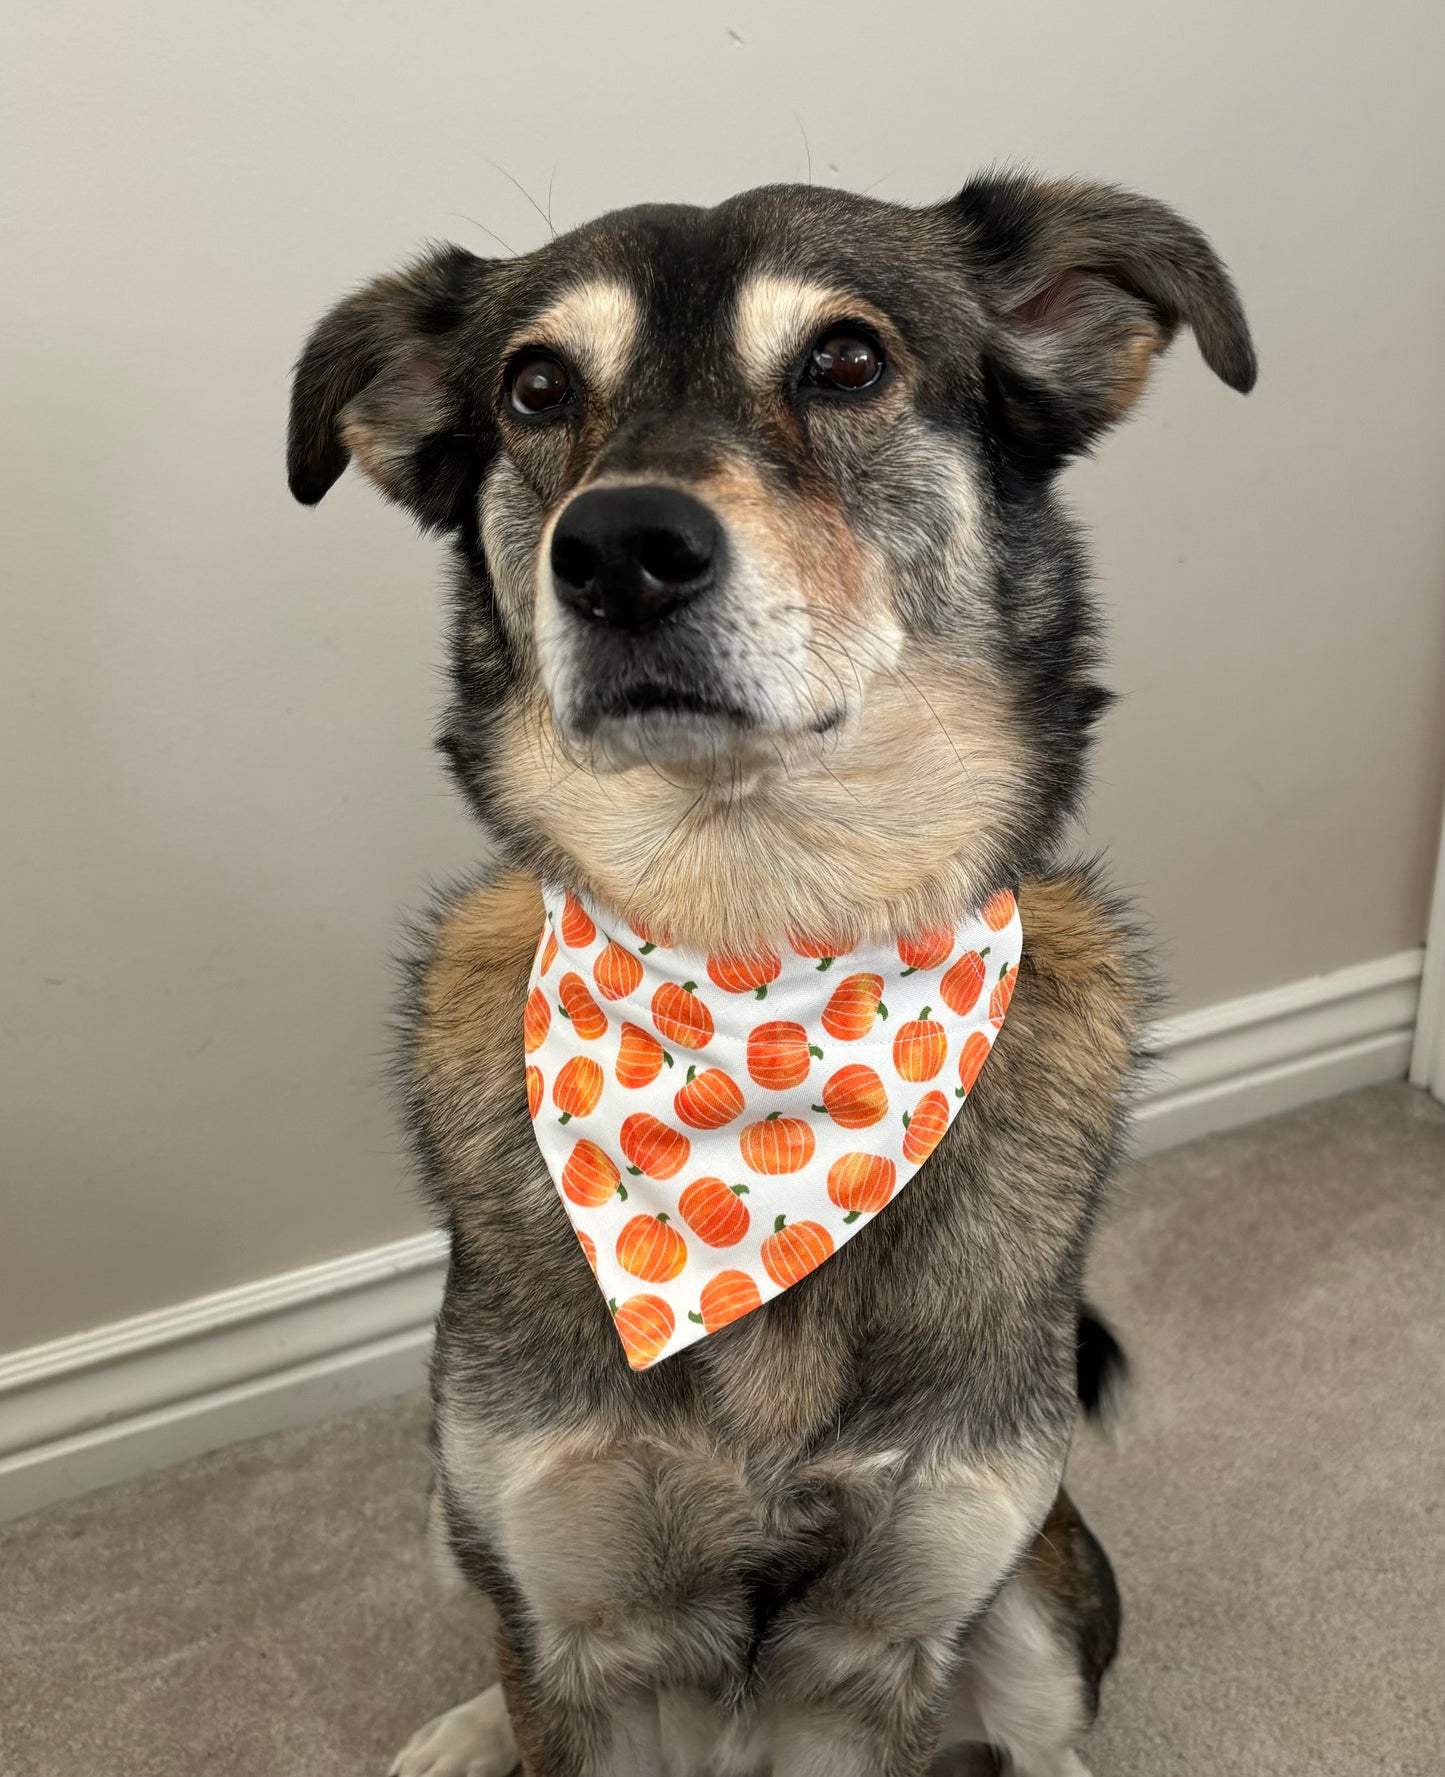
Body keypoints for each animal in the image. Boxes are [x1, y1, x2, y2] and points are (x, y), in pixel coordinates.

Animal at [284, 169, 1251, 1777]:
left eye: (845, 361)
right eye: (535, 387)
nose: (617, 551)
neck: (758, 971)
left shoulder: (888, 1640)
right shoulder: (569, 1614)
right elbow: (538, 1662)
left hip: (1040, 1585)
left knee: (1042, 1724)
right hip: (451, 1510)